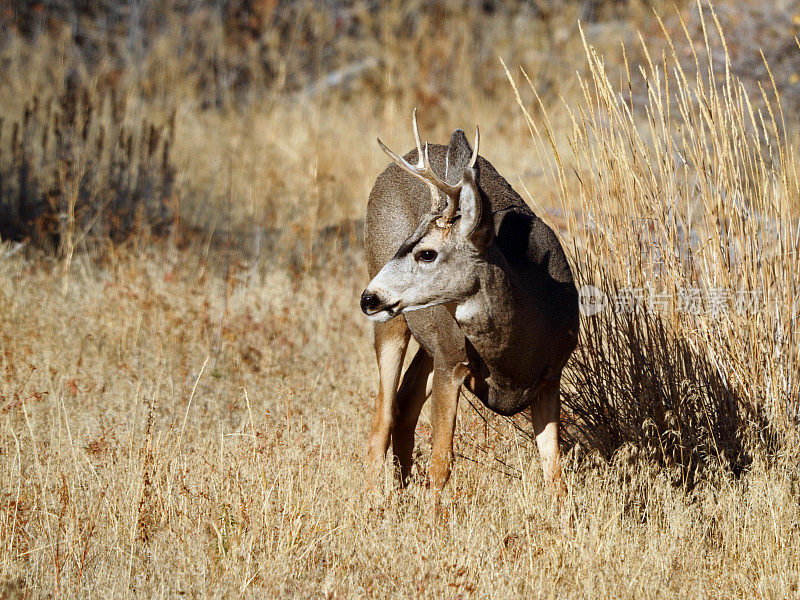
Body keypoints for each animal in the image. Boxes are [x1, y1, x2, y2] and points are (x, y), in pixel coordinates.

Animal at [362, 111, 580, 502]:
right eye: (406, 246)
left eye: (427, 253)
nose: (367, 297)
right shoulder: (452, 363)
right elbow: (441, 464)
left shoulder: (551, 374)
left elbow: (554, 472)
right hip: (395, 321)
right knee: (383, 416)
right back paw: (375, 505)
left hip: (432, 340)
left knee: (404, 405)